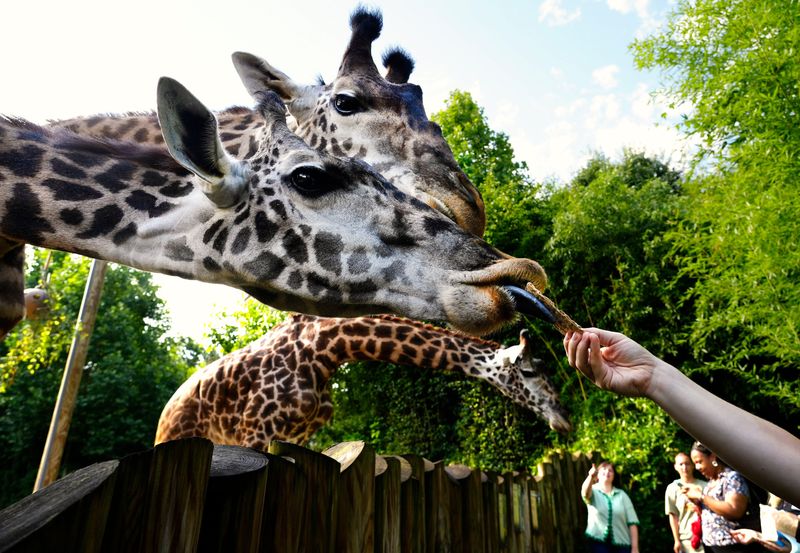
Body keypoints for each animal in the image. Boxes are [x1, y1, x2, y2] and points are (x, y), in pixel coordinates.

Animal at [155, 314, 572, 450]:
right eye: (530, 371)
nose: (564, 419)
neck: (325, 351)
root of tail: (165, 412)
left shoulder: (296, 436)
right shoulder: (255, 430)